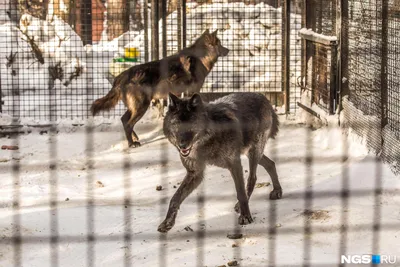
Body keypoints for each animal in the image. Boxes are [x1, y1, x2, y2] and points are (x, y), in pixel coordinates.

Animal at [90, 30, 228, 148]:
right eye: (219, 44)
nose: (228, 50)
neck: (201, 58)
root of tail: (122, 76)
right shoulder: (193, 91)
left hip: (136, 108)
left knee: (124, 120)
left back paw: (135, 139)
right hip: (141, 107)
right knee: (128, 123)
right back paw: (132, 144)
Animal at [158, 93, 282, 233]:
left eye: (190, 124)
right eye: (176, 124)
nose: (182, 146)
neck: (205, 143)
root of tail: (263, 97)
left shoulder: (234, 163)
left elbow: (240, 193)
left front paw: (245, 216)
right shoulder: (195, 173)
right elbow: (175, 198)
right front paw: (167, 222)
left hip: (254, 152)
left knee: (253, 178)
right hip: (251, 152)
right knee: (271, 164)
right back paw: (277, 191)